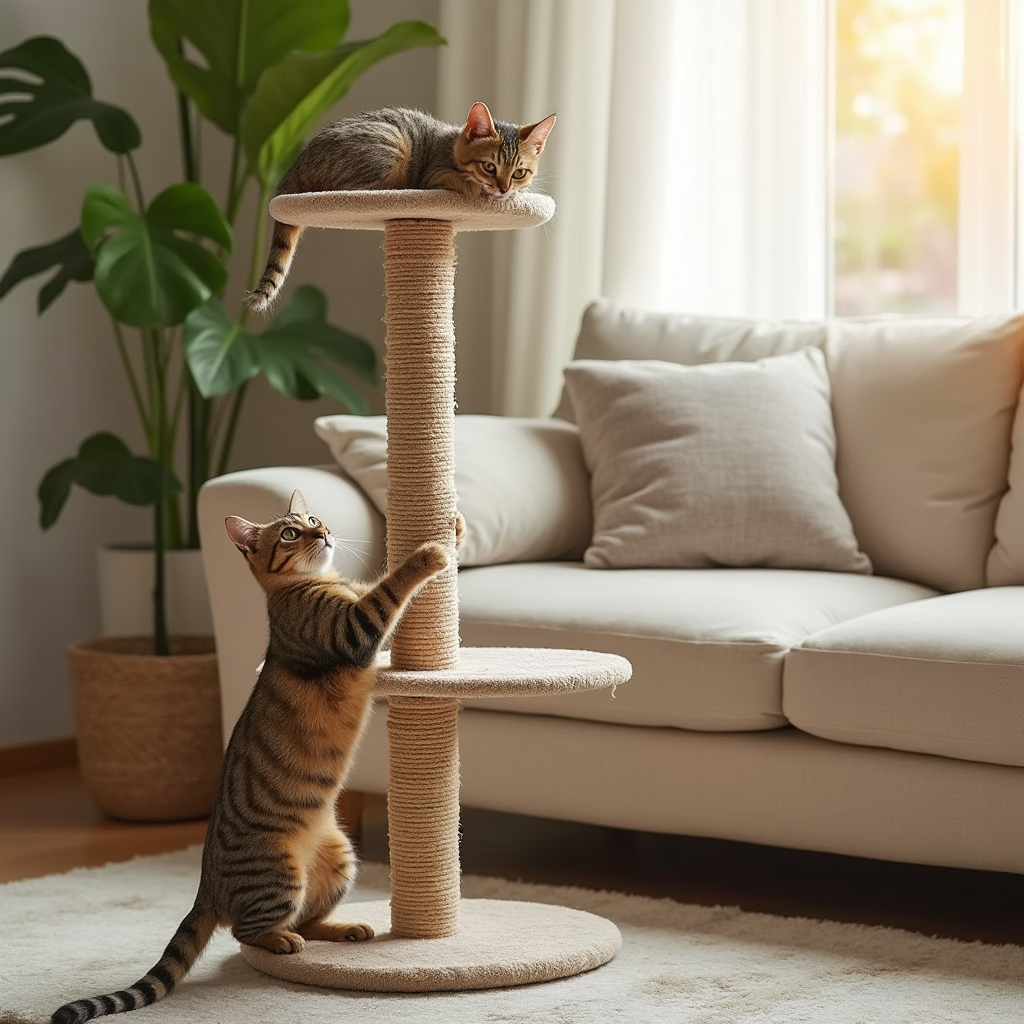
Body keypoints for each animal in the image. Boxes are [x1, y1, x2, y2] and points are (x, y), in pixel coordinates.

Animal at [49, 491, 458, 1019]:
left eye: (314, 518)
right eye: (289, 533)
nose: (324, 532)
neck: (315, 583)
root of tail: (206, 888)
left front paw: (455, 524)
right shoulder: (351, 628)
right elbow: (388, 586)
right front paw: (428, 553)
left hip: (339, 856)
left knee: (304, 920)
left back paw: (344, 928)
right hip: (279, 870)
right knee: (246, 931)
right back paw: (281, 940)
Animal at [244, 103, 557, 313]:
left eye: (519, 173)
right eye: (489, 166)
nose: (503, 188)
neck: (451, 145)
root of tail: (296, 165)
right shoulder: (435, 175)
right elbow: (463, 181)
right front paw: (479, 190)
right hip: (390, 149)